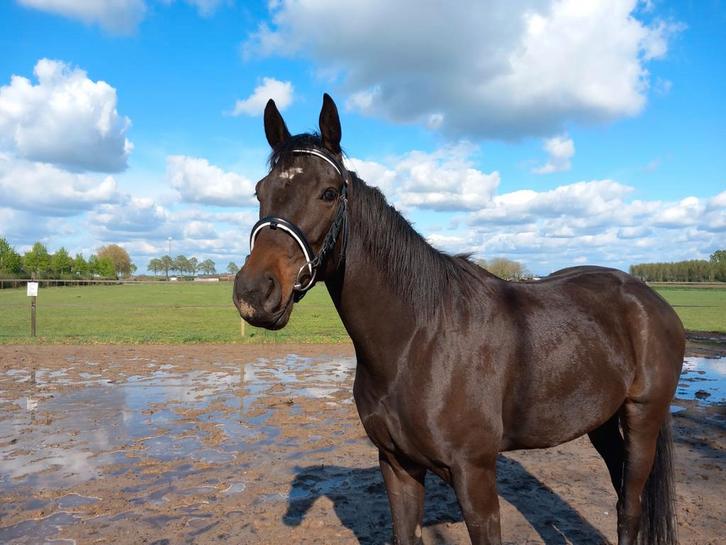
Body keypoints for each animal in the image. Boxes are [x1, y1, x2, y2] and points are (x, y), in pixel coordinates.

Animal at [233, 94, 684, 545]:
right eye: (260, 190)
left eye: (328, 193)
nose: (254, 293)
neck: (417, 341)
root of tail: (649, 300)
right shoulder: (397, 467)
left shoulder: (475, 477)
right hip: (601, 420)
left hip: (642, 418)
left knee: (629, 506)